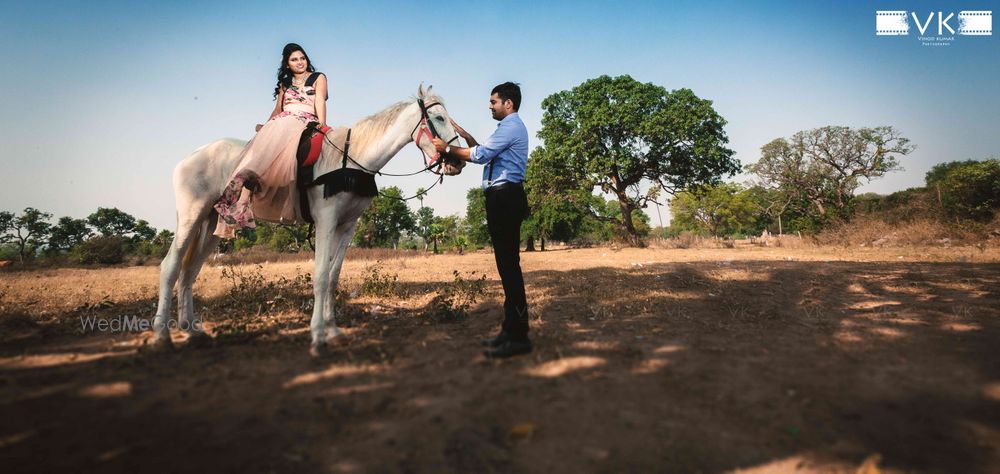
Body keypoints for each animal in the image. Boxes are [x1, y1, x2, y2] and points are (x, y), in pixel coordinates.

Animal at [150, 85, 462, 356]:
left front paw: (333, 330)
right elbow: (321, 277)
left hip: (213, 222)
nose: (457, 162)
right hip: (191, 216)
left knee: (189, 272)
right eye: (438, 118)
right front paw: (318, 336)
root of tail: (190, 158)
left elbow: (334, 277)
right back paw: (162, 335)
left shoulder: (347, 226)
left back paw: (191, 330)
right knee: (170, 267)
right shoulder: (325, 221)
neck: (350, 159)